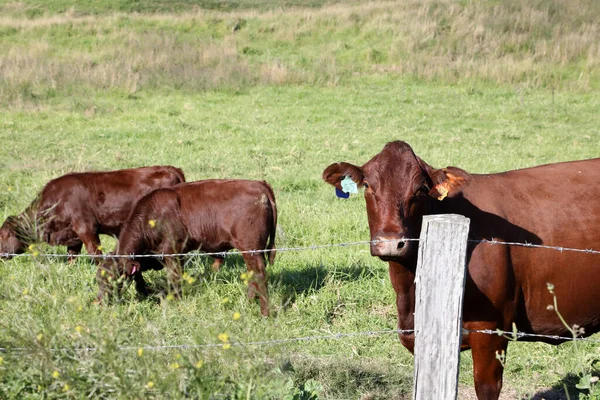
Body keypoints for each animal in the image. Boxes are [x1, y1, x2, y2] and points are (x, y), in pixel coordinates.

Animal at [324, 141, 600, 400]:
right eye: (368, 186)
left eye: (421, 189)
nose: (392, 243)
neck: (409, 290)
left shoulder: (491, 331)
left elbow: (486, 388)